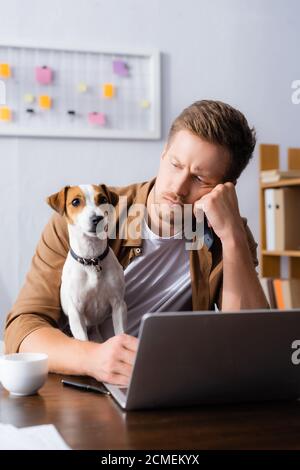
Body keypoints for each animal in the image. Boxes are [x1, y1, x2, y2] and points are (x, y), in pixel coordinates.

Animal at [46, 184, 127, 342]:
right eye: (75, 202)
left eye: (103, 199)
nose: (97, 218)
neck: (92, 259)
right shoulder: (76, 312)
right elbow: (83, 340)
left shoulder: (118, 305)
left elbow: (121, 333)